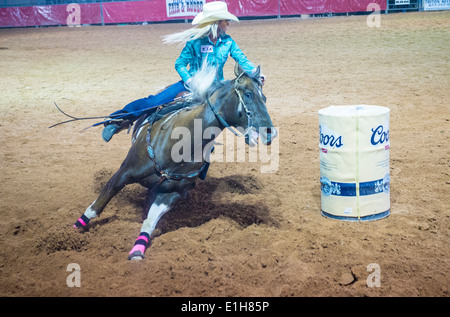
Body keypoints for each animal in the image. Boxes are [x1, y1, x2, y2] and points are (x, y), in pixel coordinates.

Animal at [73, 63, 278, 260]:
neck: (182, 143)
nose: (270, 133)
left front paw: (138, 250)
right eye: (249, 94)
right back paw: (112, 125)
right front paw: (74, 229)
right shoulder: (124, 173)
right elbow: (98, 204)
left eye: (265, 98)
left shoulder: (172, 193)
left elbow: (149, 221)